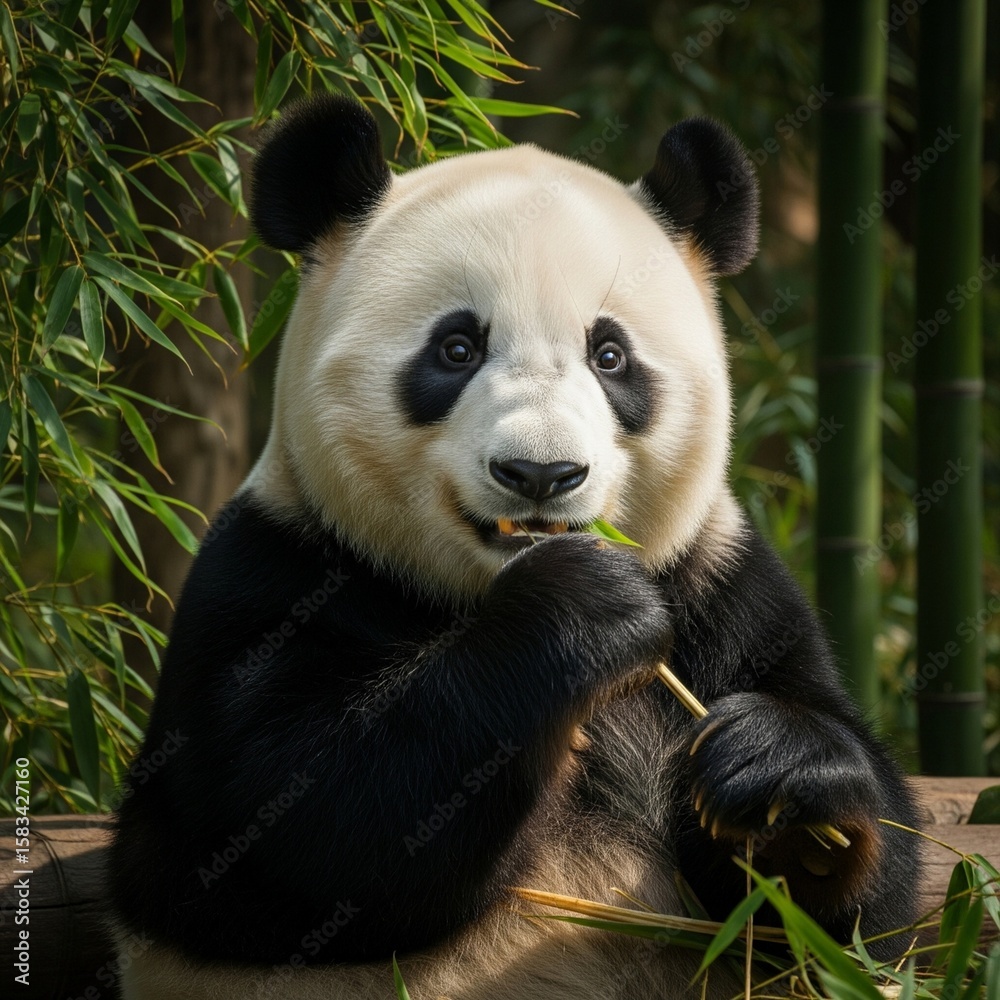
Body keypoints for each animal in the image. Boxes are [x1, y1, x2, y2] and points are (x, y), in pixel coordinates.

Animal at [108, 94, 919, 999]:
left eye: (611, 355)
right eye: (457, 348)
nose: (540, 474)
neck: (476, 589)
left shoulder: (723, 584)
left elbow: (841, 925)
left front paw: (781, 776)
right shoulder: (272, 574)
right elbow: (265, 826)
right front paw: (582, 608)